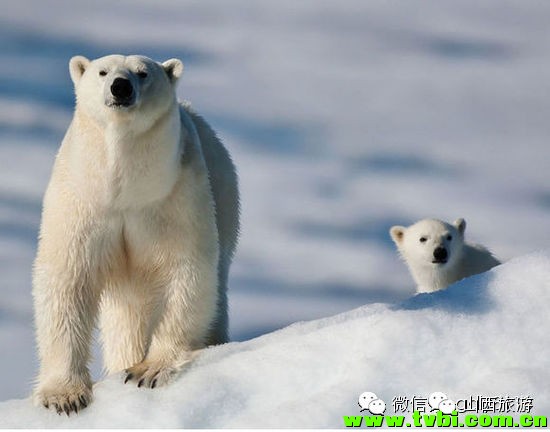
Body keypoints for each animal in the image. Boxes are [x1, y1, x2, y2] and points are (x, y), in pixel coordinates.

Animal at [32, 54, 239, 416]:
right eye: (102, 72)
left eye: (143, 73)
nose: (120, 87)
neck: (124, 189)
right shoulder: (83, 198)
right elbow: (67, 278)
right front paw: (64, 396)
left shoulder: (174, 196)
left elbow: (185, 272)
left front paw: (149, 370)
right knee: (126, 318)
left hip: (224, 200)